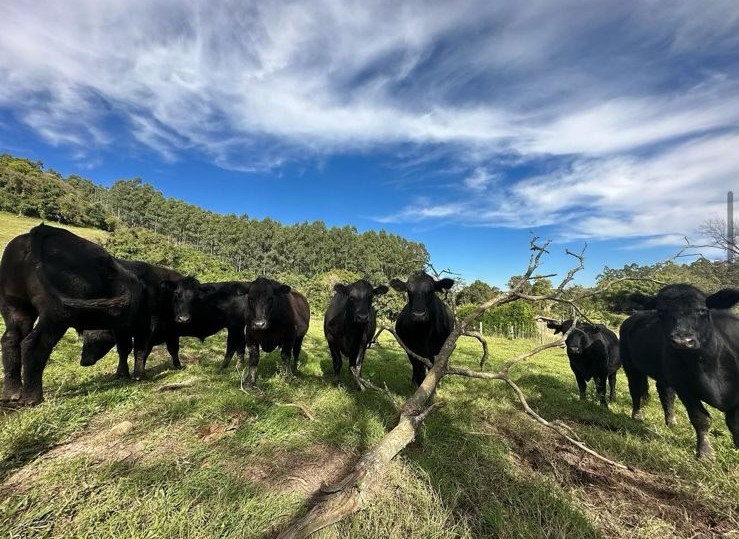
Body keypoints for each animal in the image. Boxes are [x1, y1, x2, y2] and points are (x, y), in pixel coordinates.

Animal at [0, 224, 146, 404]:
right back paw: (32, 398)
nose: (84, 361)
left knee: (10, 339)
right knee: (34, 343)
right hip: (56, 313)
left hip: (14, 305)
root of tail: (41, 231)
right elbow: (126, 347)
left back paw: (11, 394)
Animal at [628, 284, 739, 458]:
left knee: (666, 393)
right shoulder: (684, 387)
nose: (682, 341)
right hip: (630, 364)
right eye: (661, 312)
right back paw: (637, 415)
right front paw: (705, 452)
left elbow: (735, 424)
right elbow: (700, 418)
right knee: (636, 389)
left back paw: (671, 421)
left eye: (702, 310)